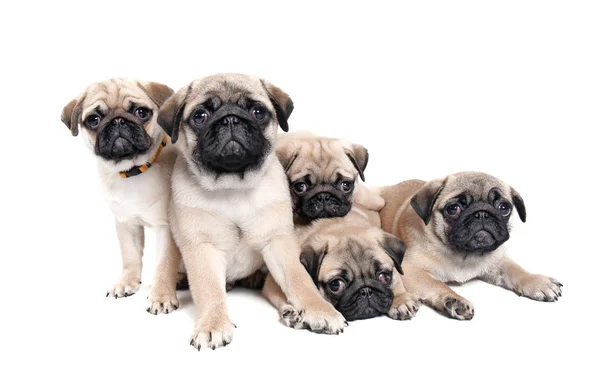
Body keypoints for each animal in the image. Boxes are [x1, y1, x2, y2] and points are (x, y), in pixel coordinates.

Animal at [61, 79, 184, 316]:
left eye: (141, 112)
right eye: (94, 120)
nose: (118, 121)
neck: (133, 170)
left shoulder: (167, 229)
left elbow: (164, 265)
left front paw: (161, 296)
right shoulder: (126, 224)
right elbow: (130, 256)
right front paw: (127, 282)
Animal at [158, 73, 346, 352]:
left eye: (258, 112)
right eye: (200, 116)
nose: (230, 118)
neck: (232, 187)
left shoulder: (278, 243)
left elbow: (300, 280)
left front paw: (319, 310)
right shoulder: (202, 248)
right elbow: (208, 290)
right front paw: (213, 325)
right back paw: (163, 293)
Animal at [262, 205, 422, 322]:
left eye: (384, 276)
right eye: (336, 285)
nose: (366, 291)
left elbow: (398, 282)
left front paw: (400, 300)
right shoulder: (273, 281)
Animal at [380, 173, 564, 322]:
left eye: (504, 208)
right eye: (453, 209)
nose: (482, 213)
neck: (463, 254)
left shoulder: (498, 262)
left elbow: (516, 271)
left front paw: (538, 282)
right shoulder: (411, 269)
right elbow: (436, 284)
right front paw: (454, 301)